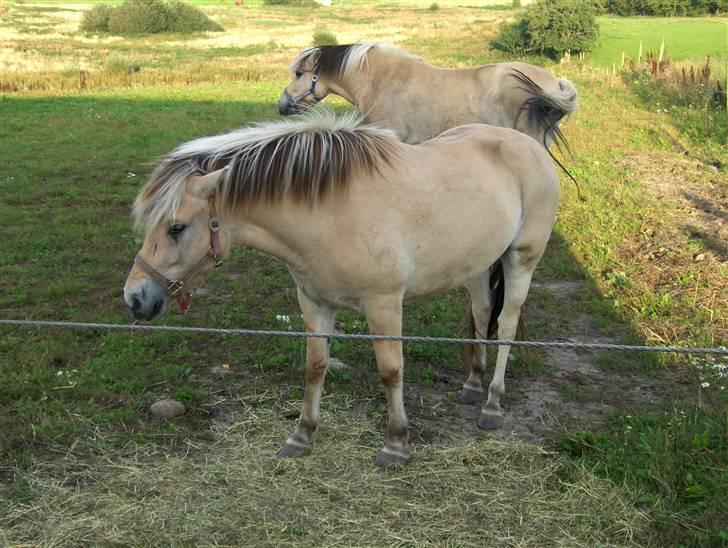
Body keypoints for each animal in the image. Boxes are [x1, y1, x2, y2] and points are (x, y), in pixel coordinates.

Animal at [123, 110, 556, 466]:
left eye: (176, 227)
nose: (134, 297)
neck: (330, 213)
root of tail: (527, 145)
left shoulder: (384, 304)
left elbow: (391, 371)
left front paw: (396, 443)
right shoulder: (314, 302)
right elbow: (316, 367)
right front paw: (301, 436)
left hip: (521, 260)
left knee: (507, 324)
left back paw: (493, 404)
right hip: (478, 264)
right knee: (482, 312)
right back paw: (472, 384)